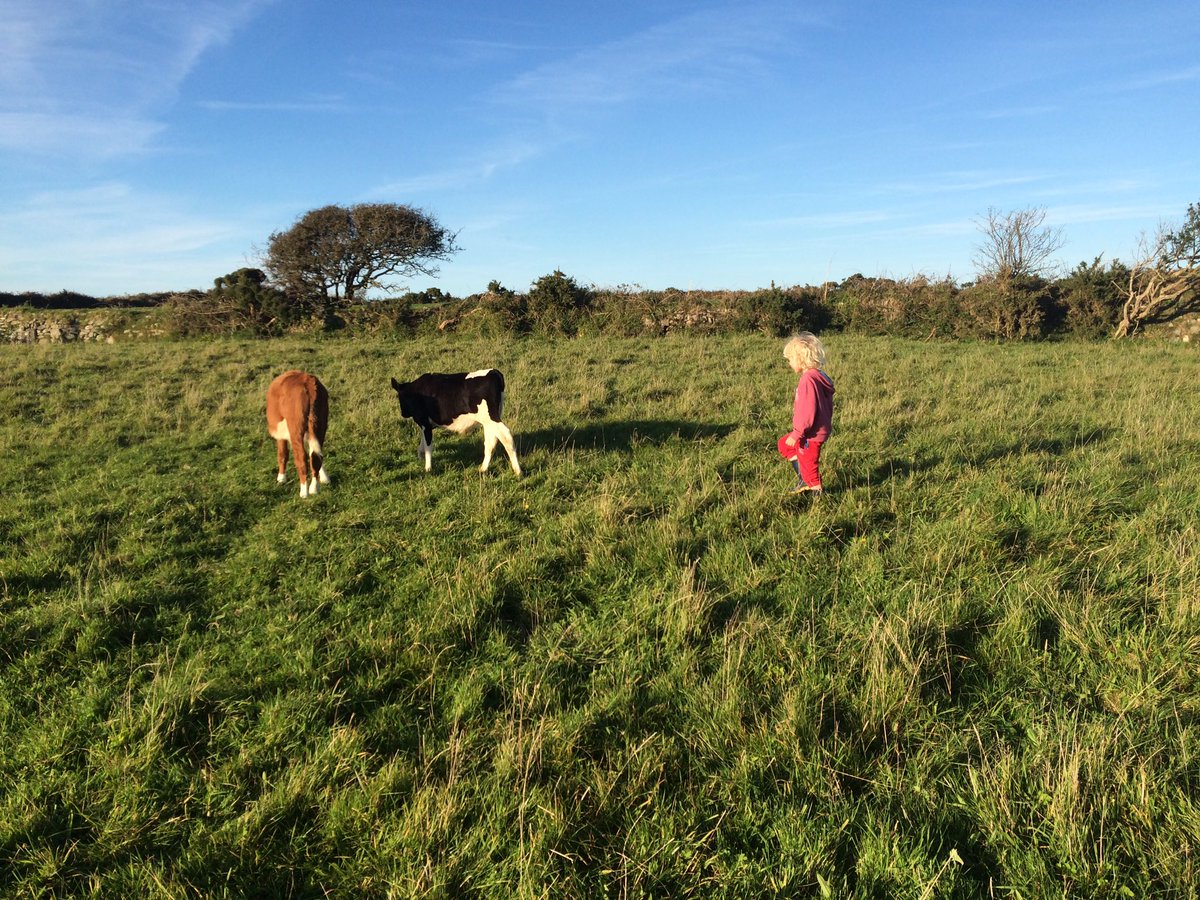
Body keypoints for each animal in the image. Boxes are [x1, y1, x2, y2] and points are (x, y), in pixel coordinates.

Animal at [266, 370, 330, 498]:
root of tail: (309, 382)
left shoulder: (281, 434)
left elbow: (282, 453)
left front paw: (281, 478)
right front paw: (325, 478)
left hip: (296, 429)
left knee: (301, 458)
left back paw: (304, 492)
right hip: (320, 424)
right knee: (316, 456)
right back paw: (314, 488)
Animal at [390, 368, 522, 476]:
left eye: (399, 397)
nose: (403, 413)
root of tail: (494, 372)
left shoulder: (425, 423)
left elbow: (428, 446)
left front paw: (428, 468)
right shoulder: (425, 425)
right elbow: (423, 443)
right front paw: (420, 456)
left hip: (492, 418)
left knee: (506, 437)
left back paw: (518, 471)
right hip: (488, 421)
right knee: (491, 442)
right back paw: (483, 469)